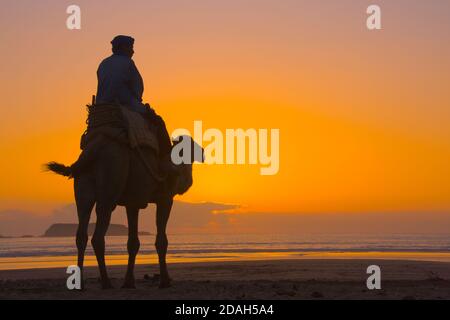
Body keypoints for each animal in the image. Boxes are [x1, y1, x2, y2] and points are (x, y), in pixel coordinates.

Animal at [46, 121, 204, 288]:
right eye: (191, 145)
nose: (203, 153)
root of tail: (95, 146)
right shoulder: (165, 199)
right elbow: (162, 241)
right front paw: (165, 281)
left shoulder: (133, 203)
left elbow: (133, 243)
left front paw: (129, 282)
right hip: (111, 180)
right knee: (98, 235)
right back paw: (106, 282)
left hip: (83, 188)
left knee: (81, 232)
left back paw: (80, 284)